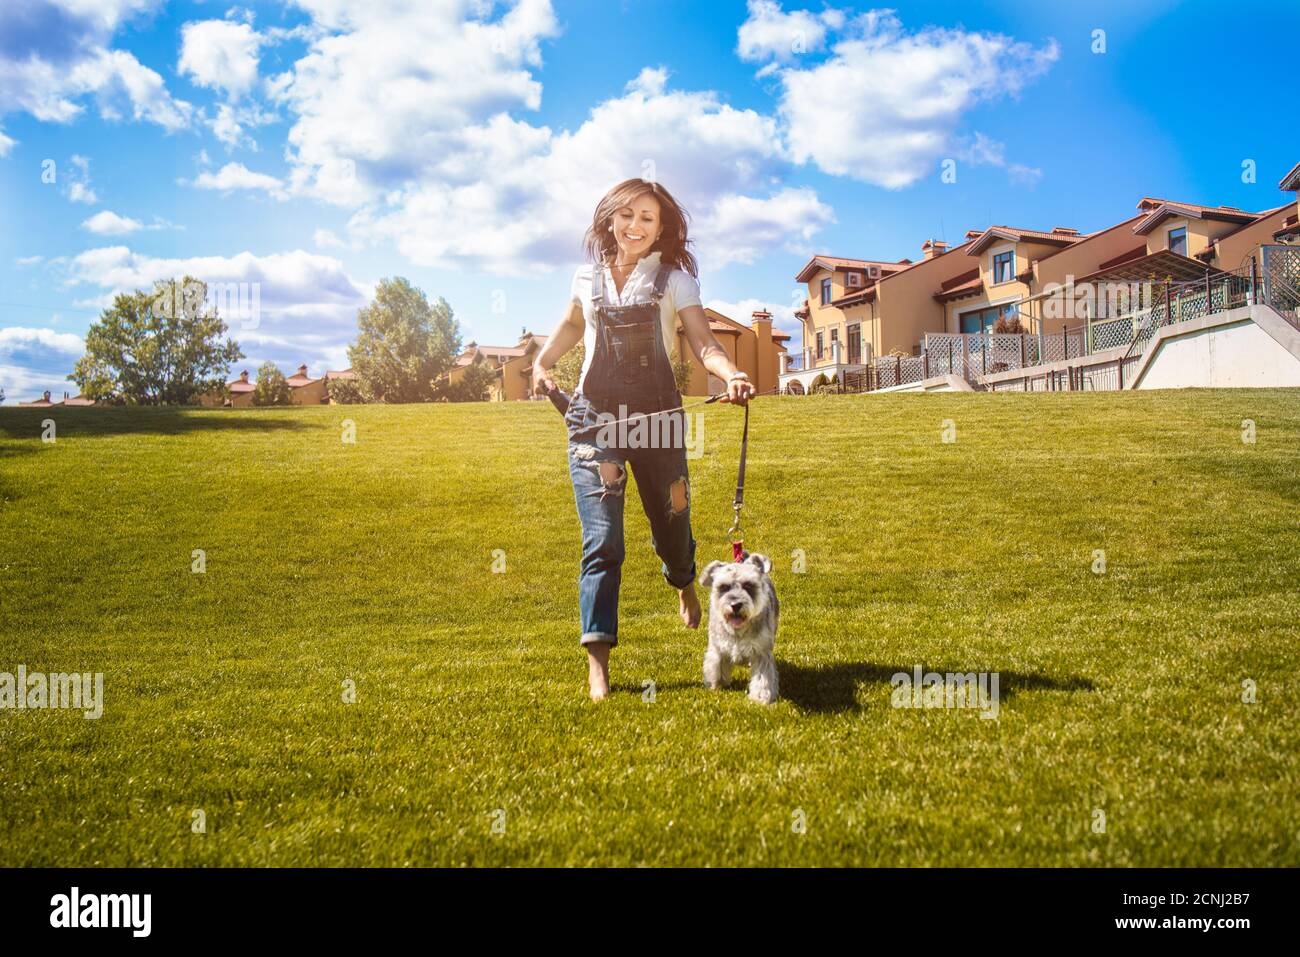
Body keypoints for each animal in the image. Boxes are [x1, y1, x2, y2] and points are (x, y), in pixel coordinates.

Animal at [702, 553, 780, 702]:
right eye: (724, 587)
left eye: (748, 585)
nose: (735, 605)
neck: (738, 630)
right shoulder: (718, 648)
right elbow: (717, 666)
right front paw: (717, 684)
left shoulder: (761, 651)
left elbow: (762, 677)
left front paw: (761, 696)